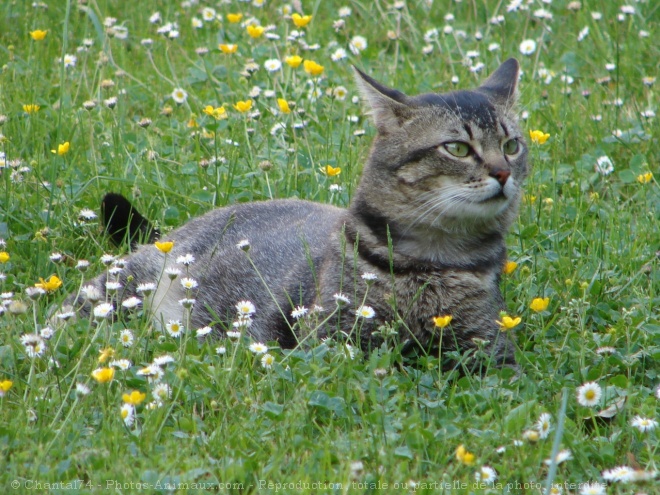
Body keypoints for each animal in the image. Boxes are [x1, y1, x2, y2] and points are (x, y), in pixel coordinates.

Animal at [65, 59, 532, 368]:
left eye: (511, 145)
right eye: (457, 148)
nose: (503, 171)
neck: (436, 262)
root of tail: (168, 235)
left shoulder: (490, 350)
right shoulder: (335, 343)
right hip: (119, 288)